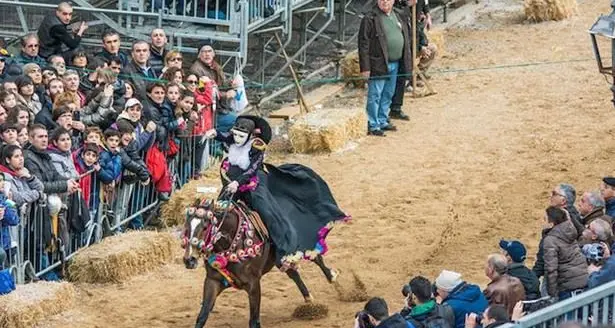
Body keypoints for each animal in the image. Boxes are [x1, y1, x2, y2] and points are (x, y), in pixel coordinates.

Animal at [183, 199, 340, 326]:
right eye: (186, 226)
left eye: (205, 227)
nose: (189, 260)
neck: (234, 243)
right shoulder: (212, 281)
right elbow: (202, 316)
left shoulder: (253, 285)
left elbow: (254, 321)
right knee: (293, 273)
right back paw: (308, 299)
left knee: (315, 257)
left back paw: (333, 279)